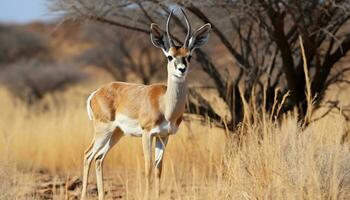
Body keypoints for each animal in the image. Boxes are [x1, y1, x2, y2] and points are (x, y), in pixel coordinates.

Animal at [81, 8, 211, 199]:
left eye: (189, 56)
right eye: (170, 56)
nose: (181, 69)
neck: (165, 106)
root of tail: (96, 93)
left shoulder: (163, 136)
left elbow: (158, 168)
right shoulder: (147, 133)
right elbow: (148, 167)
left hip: (116, 133)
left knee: (98, 158)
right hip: (103, 131)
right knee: (88, 155)